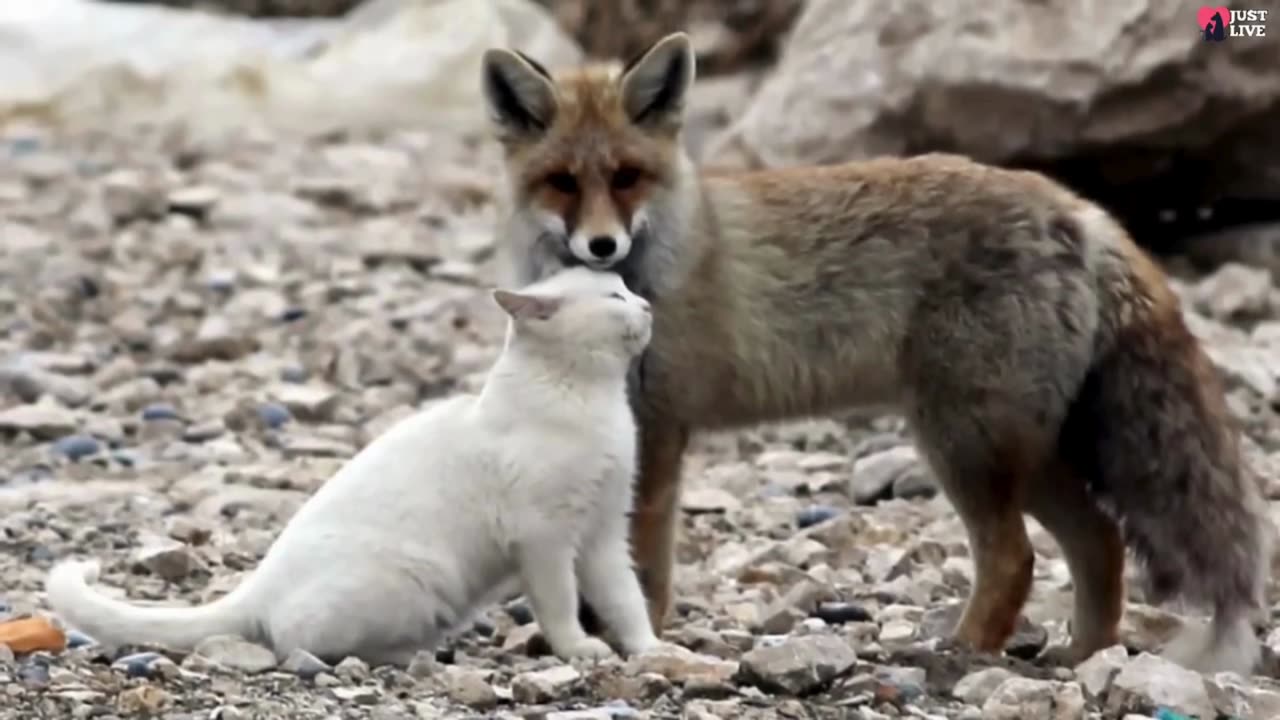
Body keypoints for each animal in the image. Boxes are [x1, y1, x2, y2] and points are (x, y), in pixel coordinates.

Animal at [42, 266, 660, 666]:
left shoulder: (604, 534)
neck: (592, 400)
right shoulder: (544, 540)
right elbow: (560, 605)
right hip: (411, 579)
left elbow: (627, 600)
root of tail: (257, 584)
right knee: (299, 643)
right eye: (615, 294)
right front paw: (580, 649)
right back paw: (408, 655)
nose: (649, 304)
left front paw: (652, 650)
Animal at [481, 32, 1280, 671]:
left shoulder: (662, 427)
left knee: (1016, 558)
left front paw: (637, 637)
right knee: (1101, 541)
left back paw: (963, 652)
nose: (603, 246)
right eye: (561, 183)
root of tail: (1080, 210)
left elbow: (641, 564)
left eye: (626, 176)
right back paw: (1083, 656)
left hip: (964, 444)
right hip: (1022, 452)